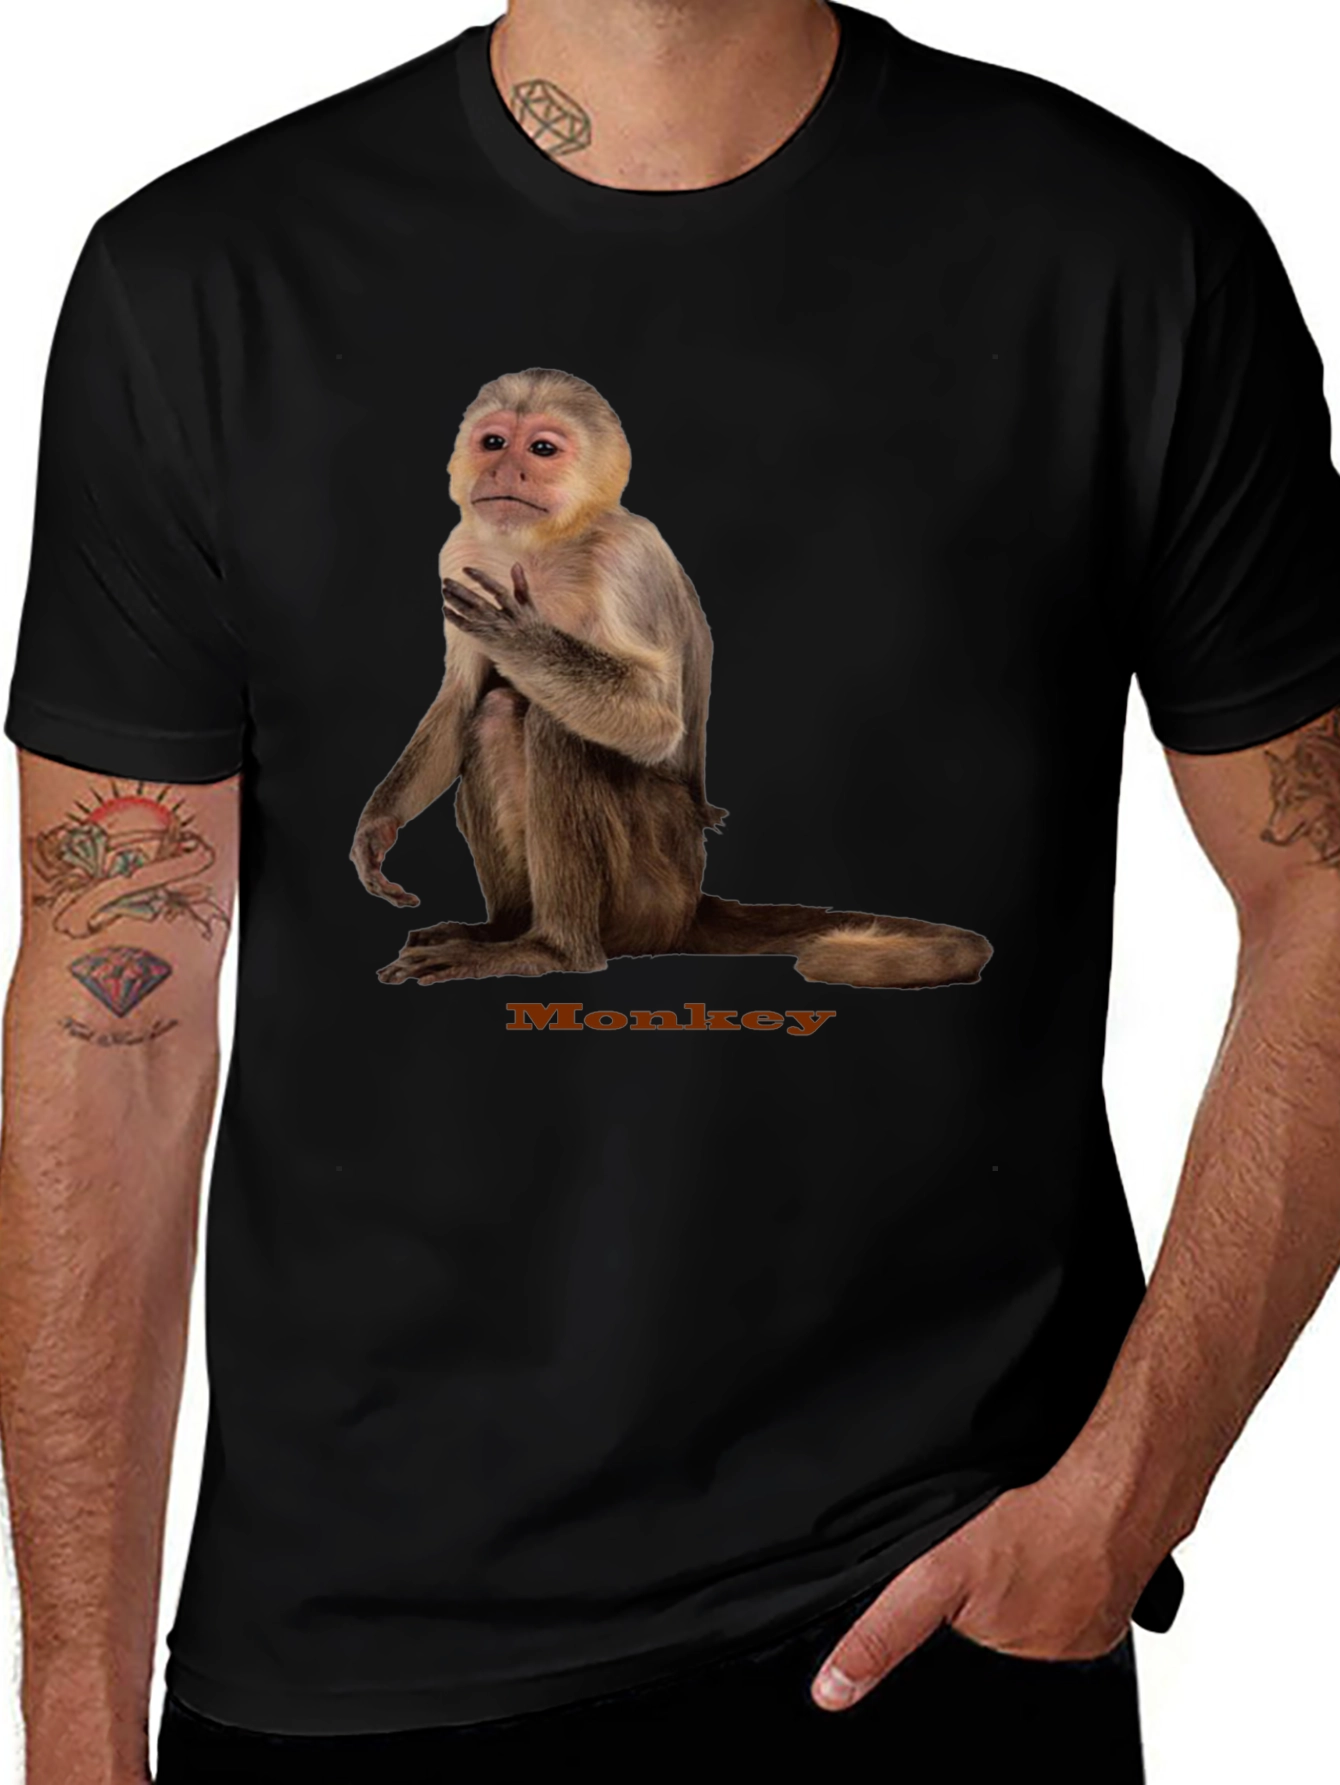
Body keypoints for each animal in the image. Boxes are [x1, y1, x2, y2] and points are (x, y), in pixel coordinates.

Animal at [351, 369, 991, 990]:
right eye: (493, 442)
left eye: (541, 448)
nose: (506, 468)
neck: (544, 545)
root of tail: (690, 906)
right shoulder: (458, 551)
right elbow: (460, 698)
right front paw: (377, 826)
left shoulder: (625, 555)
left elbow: (658, 720)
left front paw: (523, 641)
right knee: (494, 717)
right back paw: (501, 931)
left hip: (657, 886)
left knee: (552, 728)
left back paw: (554, 949)